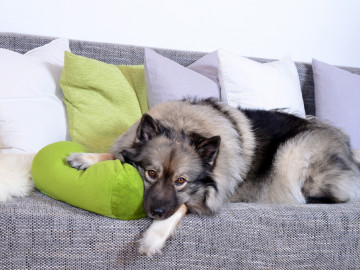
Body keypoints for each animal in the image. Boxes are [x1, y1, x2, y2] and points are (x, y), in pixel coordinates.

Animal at [66, 98, 360, 256]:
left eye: (181, 181)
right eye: (151, 173)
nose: (156, 212)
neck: (184, 125)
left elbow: (182, 206)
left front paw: (153, 236)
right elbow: (114, 154)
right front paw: (86, 157)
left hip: (293, 153)